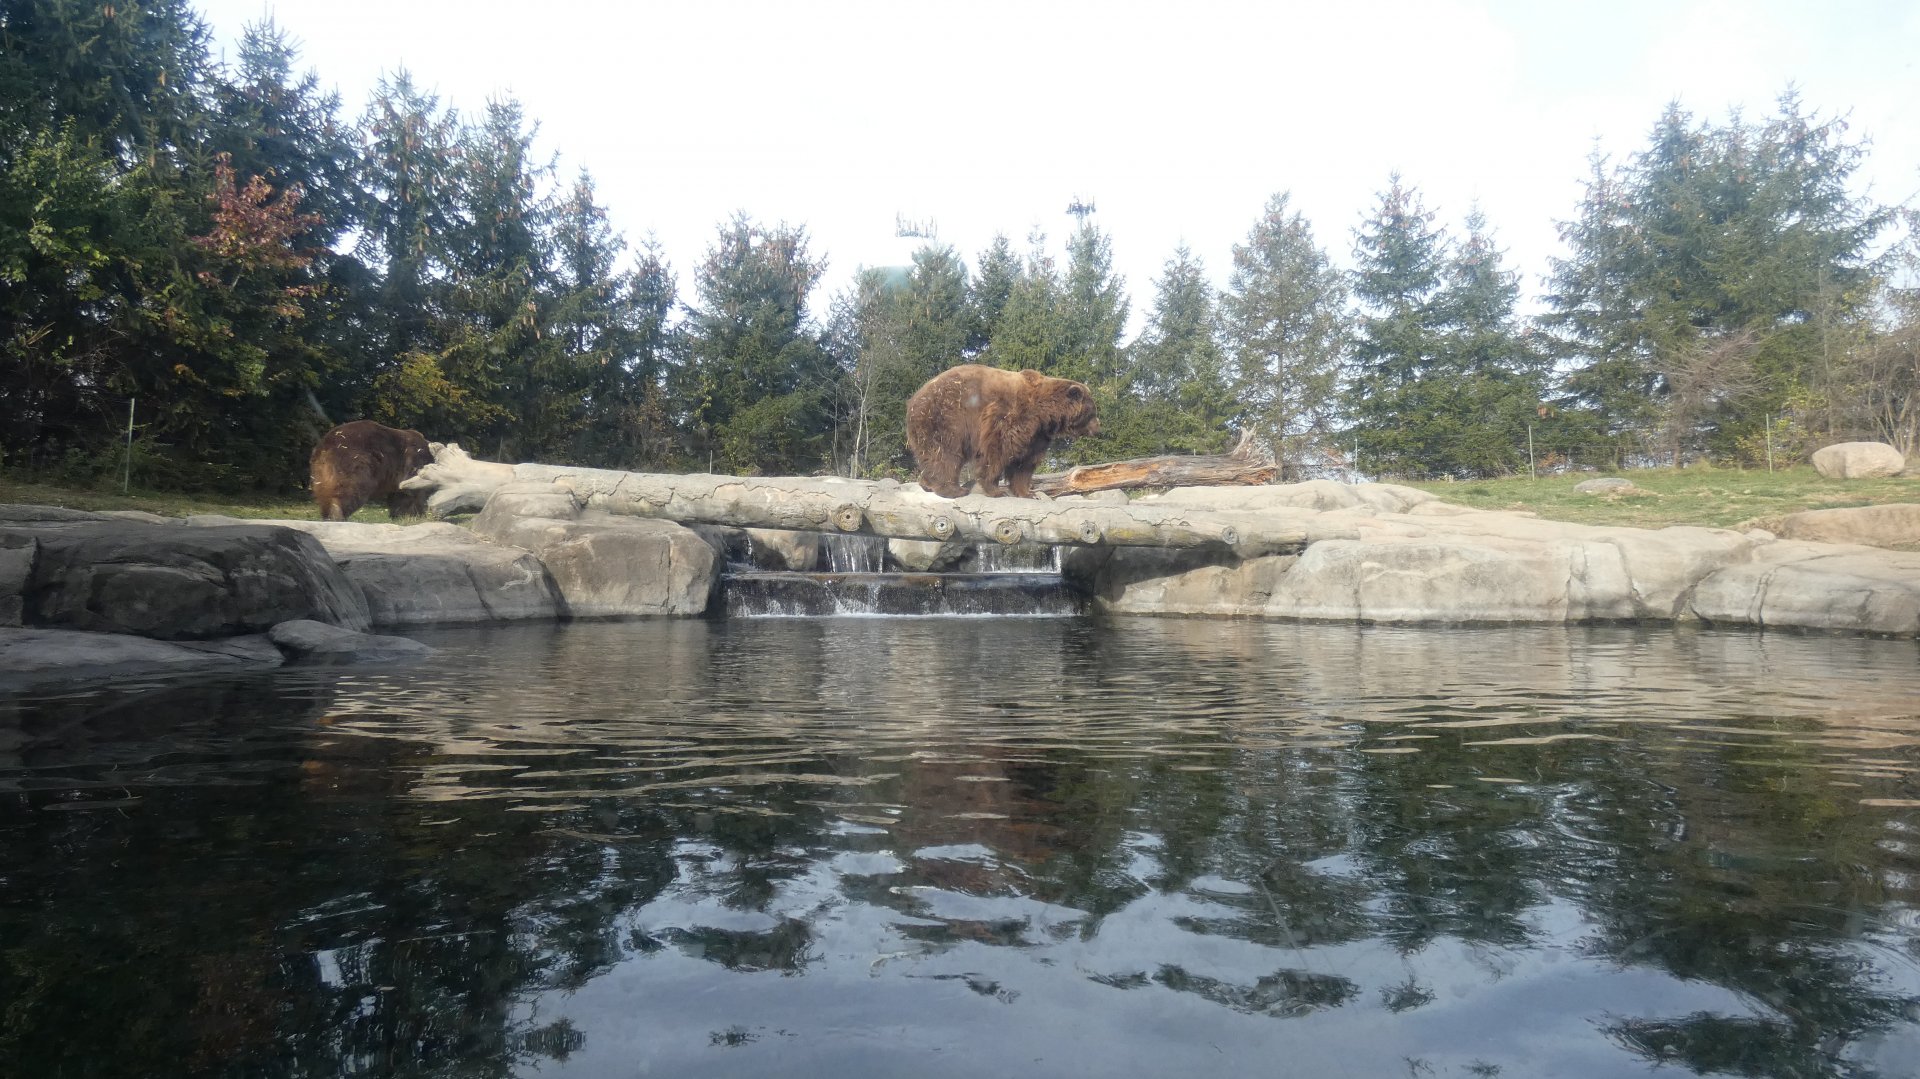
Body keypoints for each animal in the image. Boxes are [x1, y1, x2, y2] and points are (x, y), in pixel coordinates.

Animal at [906, 364, 1100, 498]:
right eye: (1092, 412)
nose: (1098, 428)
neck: (1045, 413)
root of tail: (913, 399)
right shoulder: (1007, 416)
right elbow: (997, 451)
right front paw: (996, 490)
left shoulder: (1037, 434)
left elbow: (1025, 462)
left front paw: (1028, 493)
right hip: (945, 418)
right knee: (945, 453)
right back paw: (954, 489)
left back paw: (927, 483)